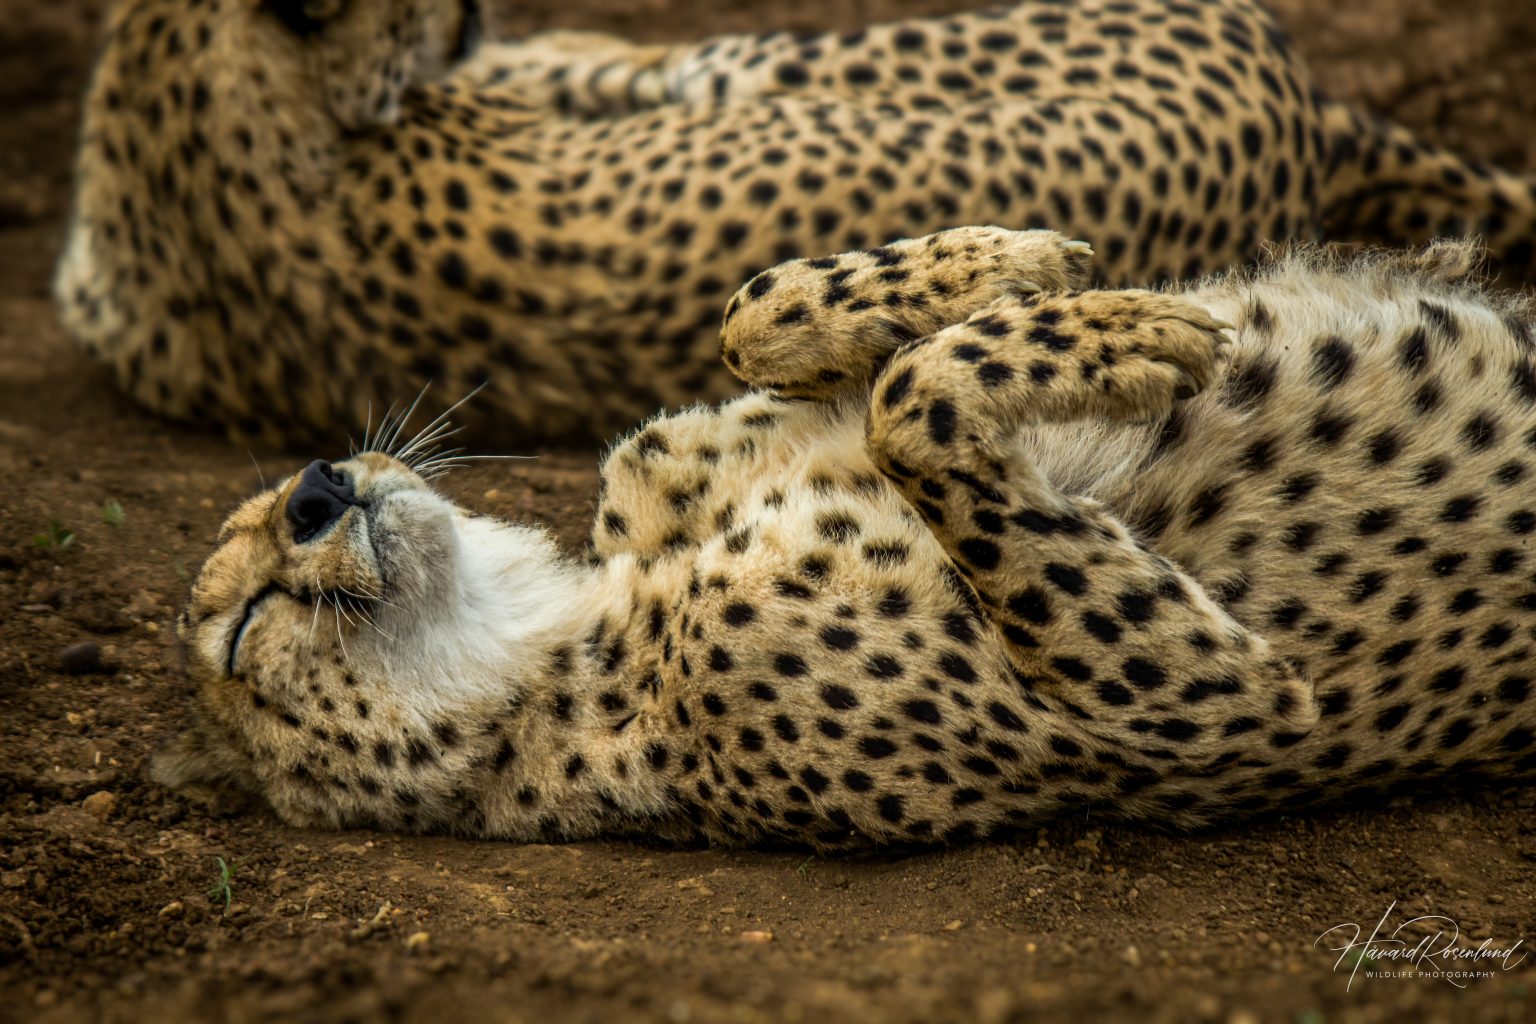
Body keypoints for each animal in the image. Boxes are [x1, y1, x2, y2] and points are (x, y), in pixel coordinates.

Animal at [152, 226, 1536, 848]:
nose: (317, 490)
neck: (541, 640)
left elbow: (754, 316)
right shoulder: (1209, 710)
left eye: (277, 501)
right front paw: (1118, 336)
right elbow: (913, 403)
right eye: (242, 630)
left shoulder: (665, 459)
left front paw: (1005, 267)